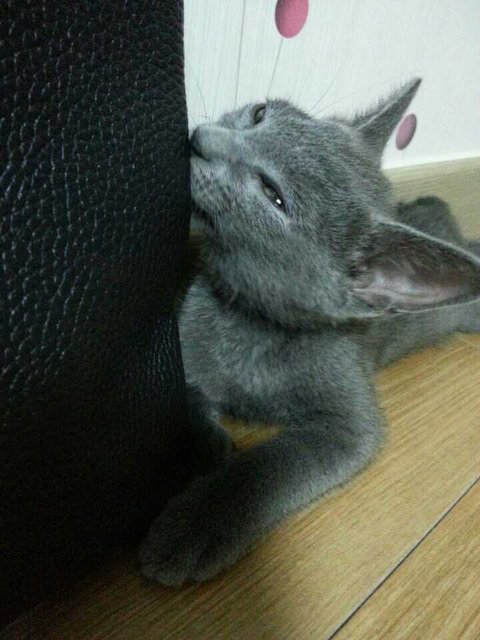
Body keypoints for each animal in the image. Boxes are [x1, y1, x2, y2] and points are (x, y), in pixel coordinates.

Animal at [140, 78, 480, 585]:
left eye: (273, 194)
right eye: (259, 113)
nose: (199, 139)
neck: (252, 325)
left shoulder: (348, 426)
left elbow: (270, 467)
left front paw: (193, 524)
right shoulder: (186, 342)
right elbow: (185, 397)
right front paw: (201, 451)